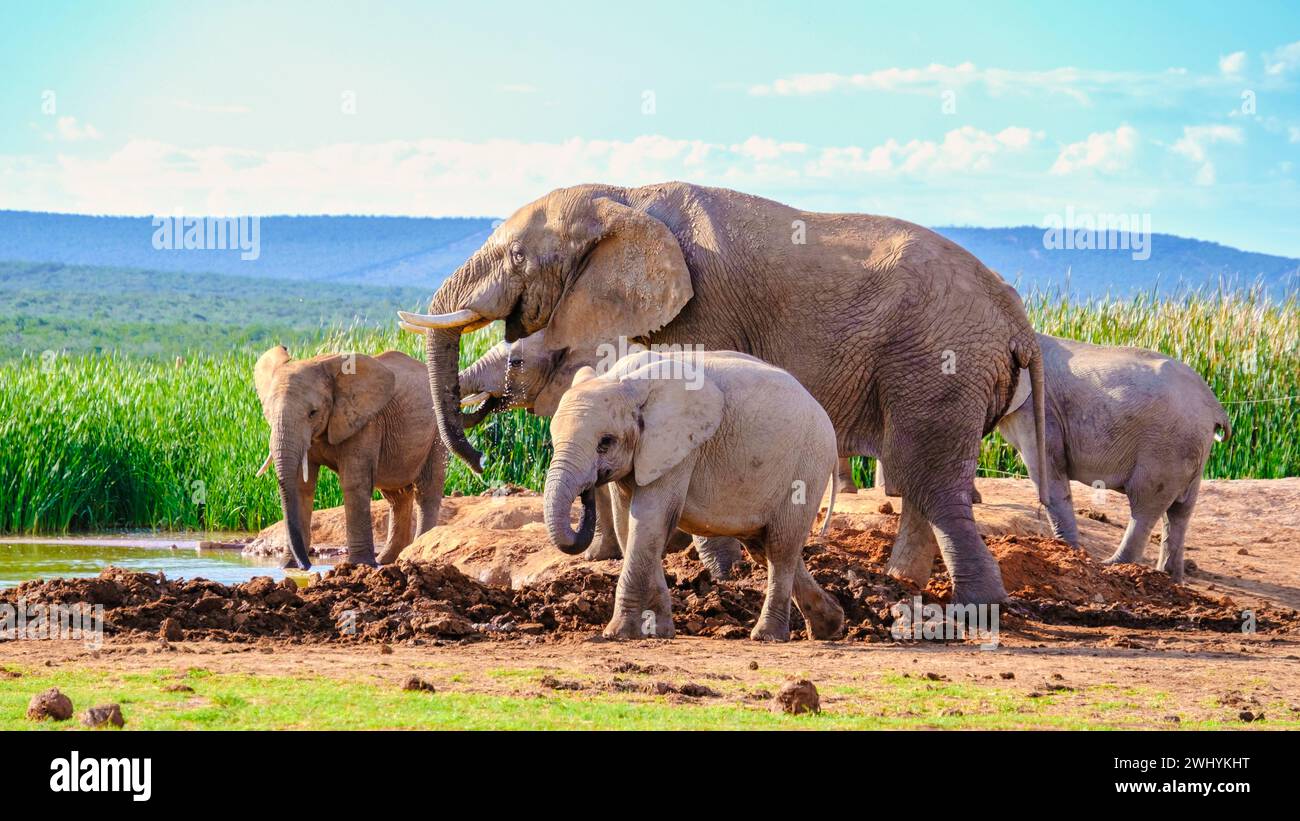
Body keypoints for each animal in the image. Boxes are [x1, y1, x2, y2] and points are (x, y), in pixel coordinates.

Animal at [253, 346, 446, 570]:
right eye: (267, 412)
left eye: (313, 413)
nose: (307, 565)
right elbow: (302, 486)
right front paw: (288, 567)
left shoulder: (364, 422)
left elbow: (353, 483)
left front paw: (358, 565)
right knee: (396, 496)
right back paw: (387, 560)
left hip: (438, 432)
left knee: (426, 490)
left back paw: (416, 554)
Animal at [544, 349, 845, 641]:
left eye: (605, 442)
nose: (587, 491)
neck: (625, 382)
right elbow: (629, 526)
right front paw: (657, 630)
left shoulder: (678, 450)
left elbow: (649, 520)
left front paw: (619, 633)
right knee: (766, 548)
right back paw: (829, 626)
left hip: (807, 466)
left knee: (781, 548)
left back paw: (767, 636)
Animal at [886, 335, 1230, 585]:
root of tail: (1215, 406)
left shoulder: (1037, 409)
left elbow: (1045, 470)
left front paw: (1068, 552)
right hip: (1190, 451)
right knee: (1181, 512)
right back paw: (1169, 577)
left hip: (1165, 447)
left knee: (1146, 505)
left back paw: (1112, 566)